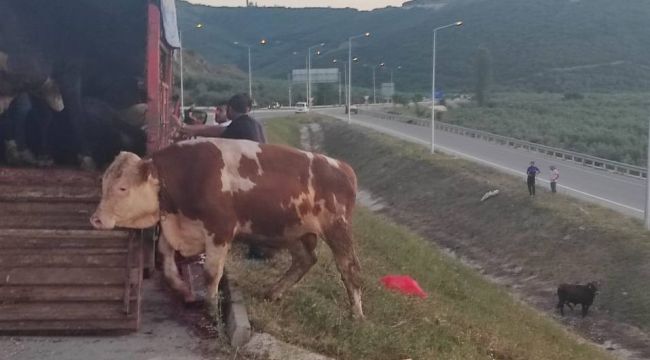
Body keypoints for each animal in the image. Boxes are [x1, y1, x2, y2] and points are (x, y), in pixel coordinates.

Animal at [91, 138, 364, 318]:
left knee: (349, 269)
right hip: (291, 231)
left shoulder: (219, 230)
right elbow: (166, 264)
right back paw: (273, 292)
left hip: (338, 229)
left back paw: (357, 314)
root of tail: (343, 167)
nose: (96, 219)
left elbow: (212, 272)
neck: (189, 174)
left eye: (123, 187)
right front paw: (184, 291)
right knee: (305, 259)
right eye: (103, 183)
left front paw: (211, 307)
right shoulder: (175, 226)